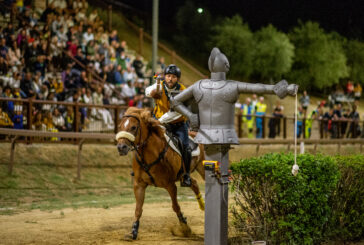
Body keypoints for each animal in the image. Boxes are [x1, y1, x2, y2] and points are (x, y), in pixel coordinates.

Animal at [116, 106, 206, 239]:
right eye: (120, 126)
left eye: (133, 127)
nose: (121, 147)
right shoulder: (139, 185)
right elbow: (138, 209)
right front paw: (133, 232)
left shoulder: (170, 185)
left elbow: (175, 206)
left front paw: (185, 227)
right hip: (184, 176)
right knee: (194, 183)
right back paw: (202, 205)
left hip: (203, 169)